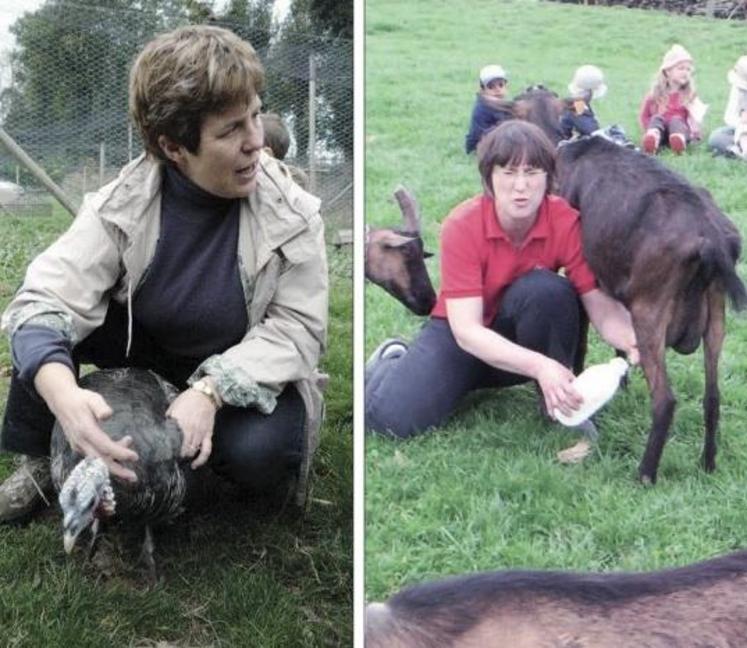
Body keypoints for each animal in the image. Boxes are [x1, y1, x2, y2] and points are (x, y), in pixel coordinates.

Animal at [560, 135, 744, 480]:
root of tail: (710, 237)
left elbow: (581, 336)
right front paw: (622, 382)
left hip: (649, 315)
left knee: (664, 400)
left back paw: (645, 474)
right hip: (715, 317)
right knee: (712, 397)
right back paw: (707, 464)